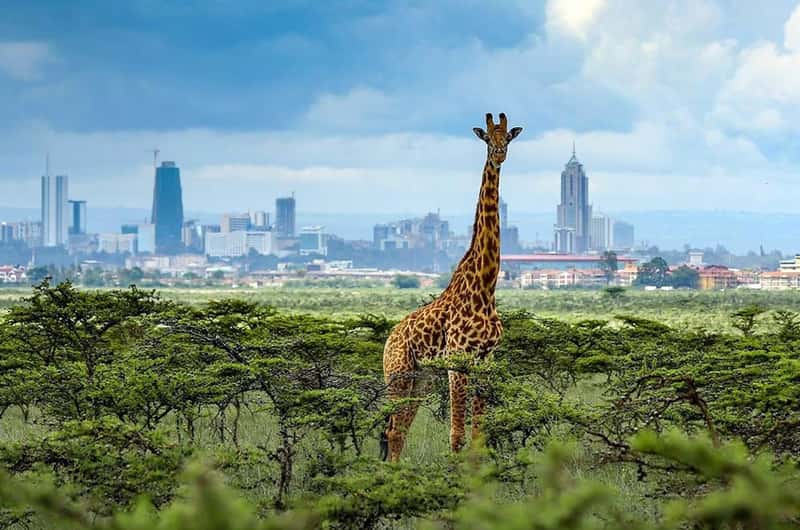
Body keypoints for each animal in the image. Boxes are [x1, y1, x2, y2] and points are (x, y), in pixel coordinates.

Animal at [381, 112, 523, 461]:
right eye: (487, 138)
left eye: (508, 137)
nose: (499, 154)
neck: (485, 286)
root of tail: (388, 339)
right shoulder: (457, 361)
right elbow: (456, 436)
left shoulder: (485, 361)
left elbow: (477, 436)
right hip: (398, 374)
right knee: (392, 430)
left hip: (421, 379)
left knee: (400, 431)